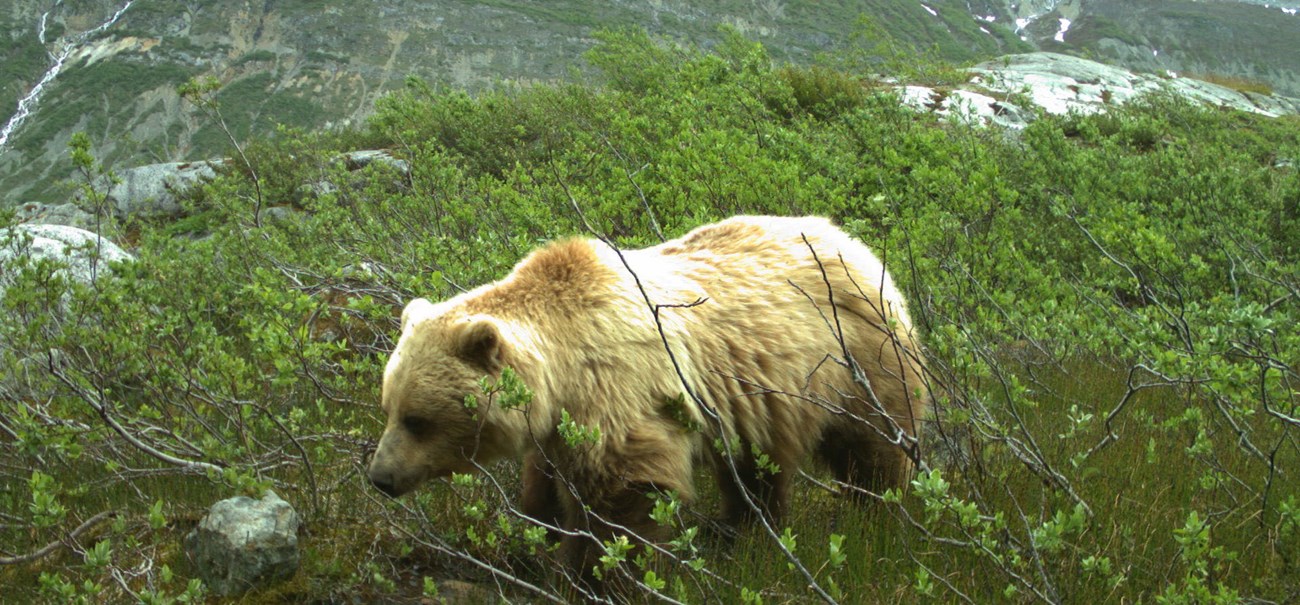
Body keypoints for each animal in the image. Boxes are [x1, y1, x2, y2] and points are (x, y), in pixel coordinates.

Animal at [371, 215, 930, 590]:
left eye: (418, 420)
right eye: (387, 407)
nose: (380, 478)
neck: (562, 370)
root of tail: (855, 243)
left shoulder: (616, 390)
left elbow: (622, 500)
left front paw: (600, 576)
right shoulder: (555, 426)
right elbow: (545, 486)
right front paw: (544, 540)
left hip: (859, 358)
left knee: (872, 444)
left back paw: (878, 512)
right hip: (764, 394)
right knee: (756, 465)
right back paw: (742, 529)